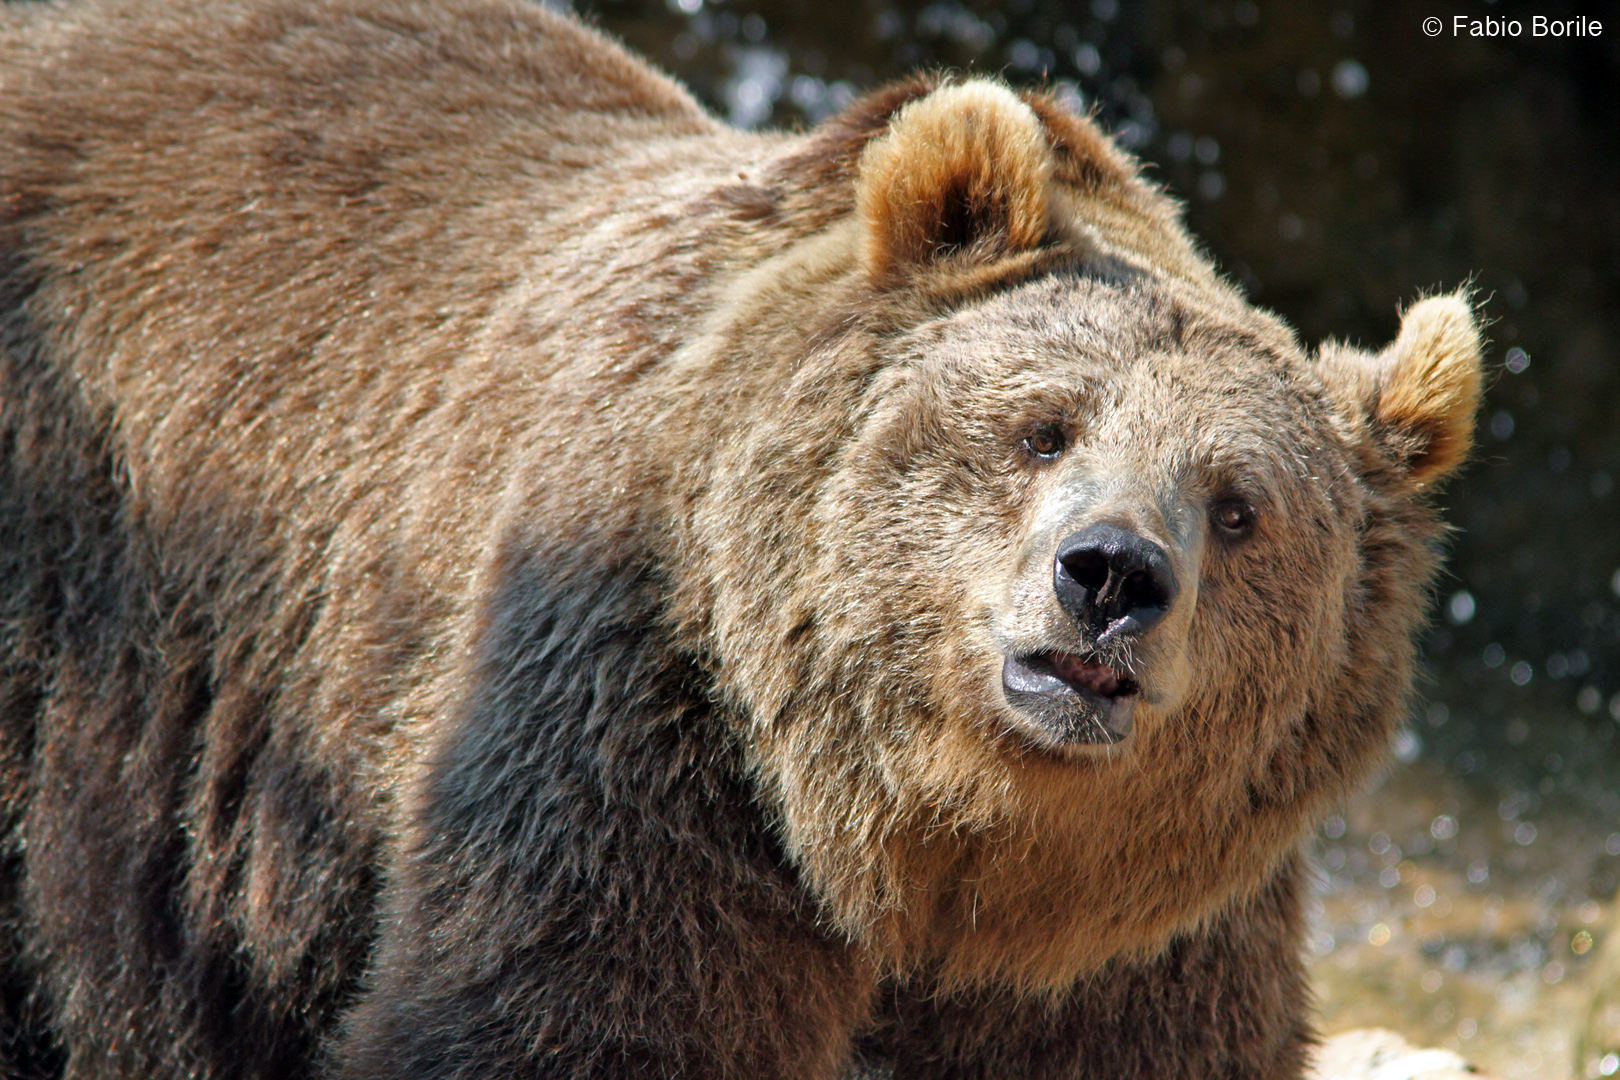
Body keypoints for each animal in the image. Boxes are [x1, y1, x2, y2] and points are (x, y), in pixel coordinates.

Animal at [0, 0, 1485, 1077]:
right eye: (1042, 429)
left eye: (1238, 506)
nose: (1111, 575)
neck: (924, 851)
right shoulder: (641, 739)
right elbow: (575, 1015)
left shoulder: (1150, 930)